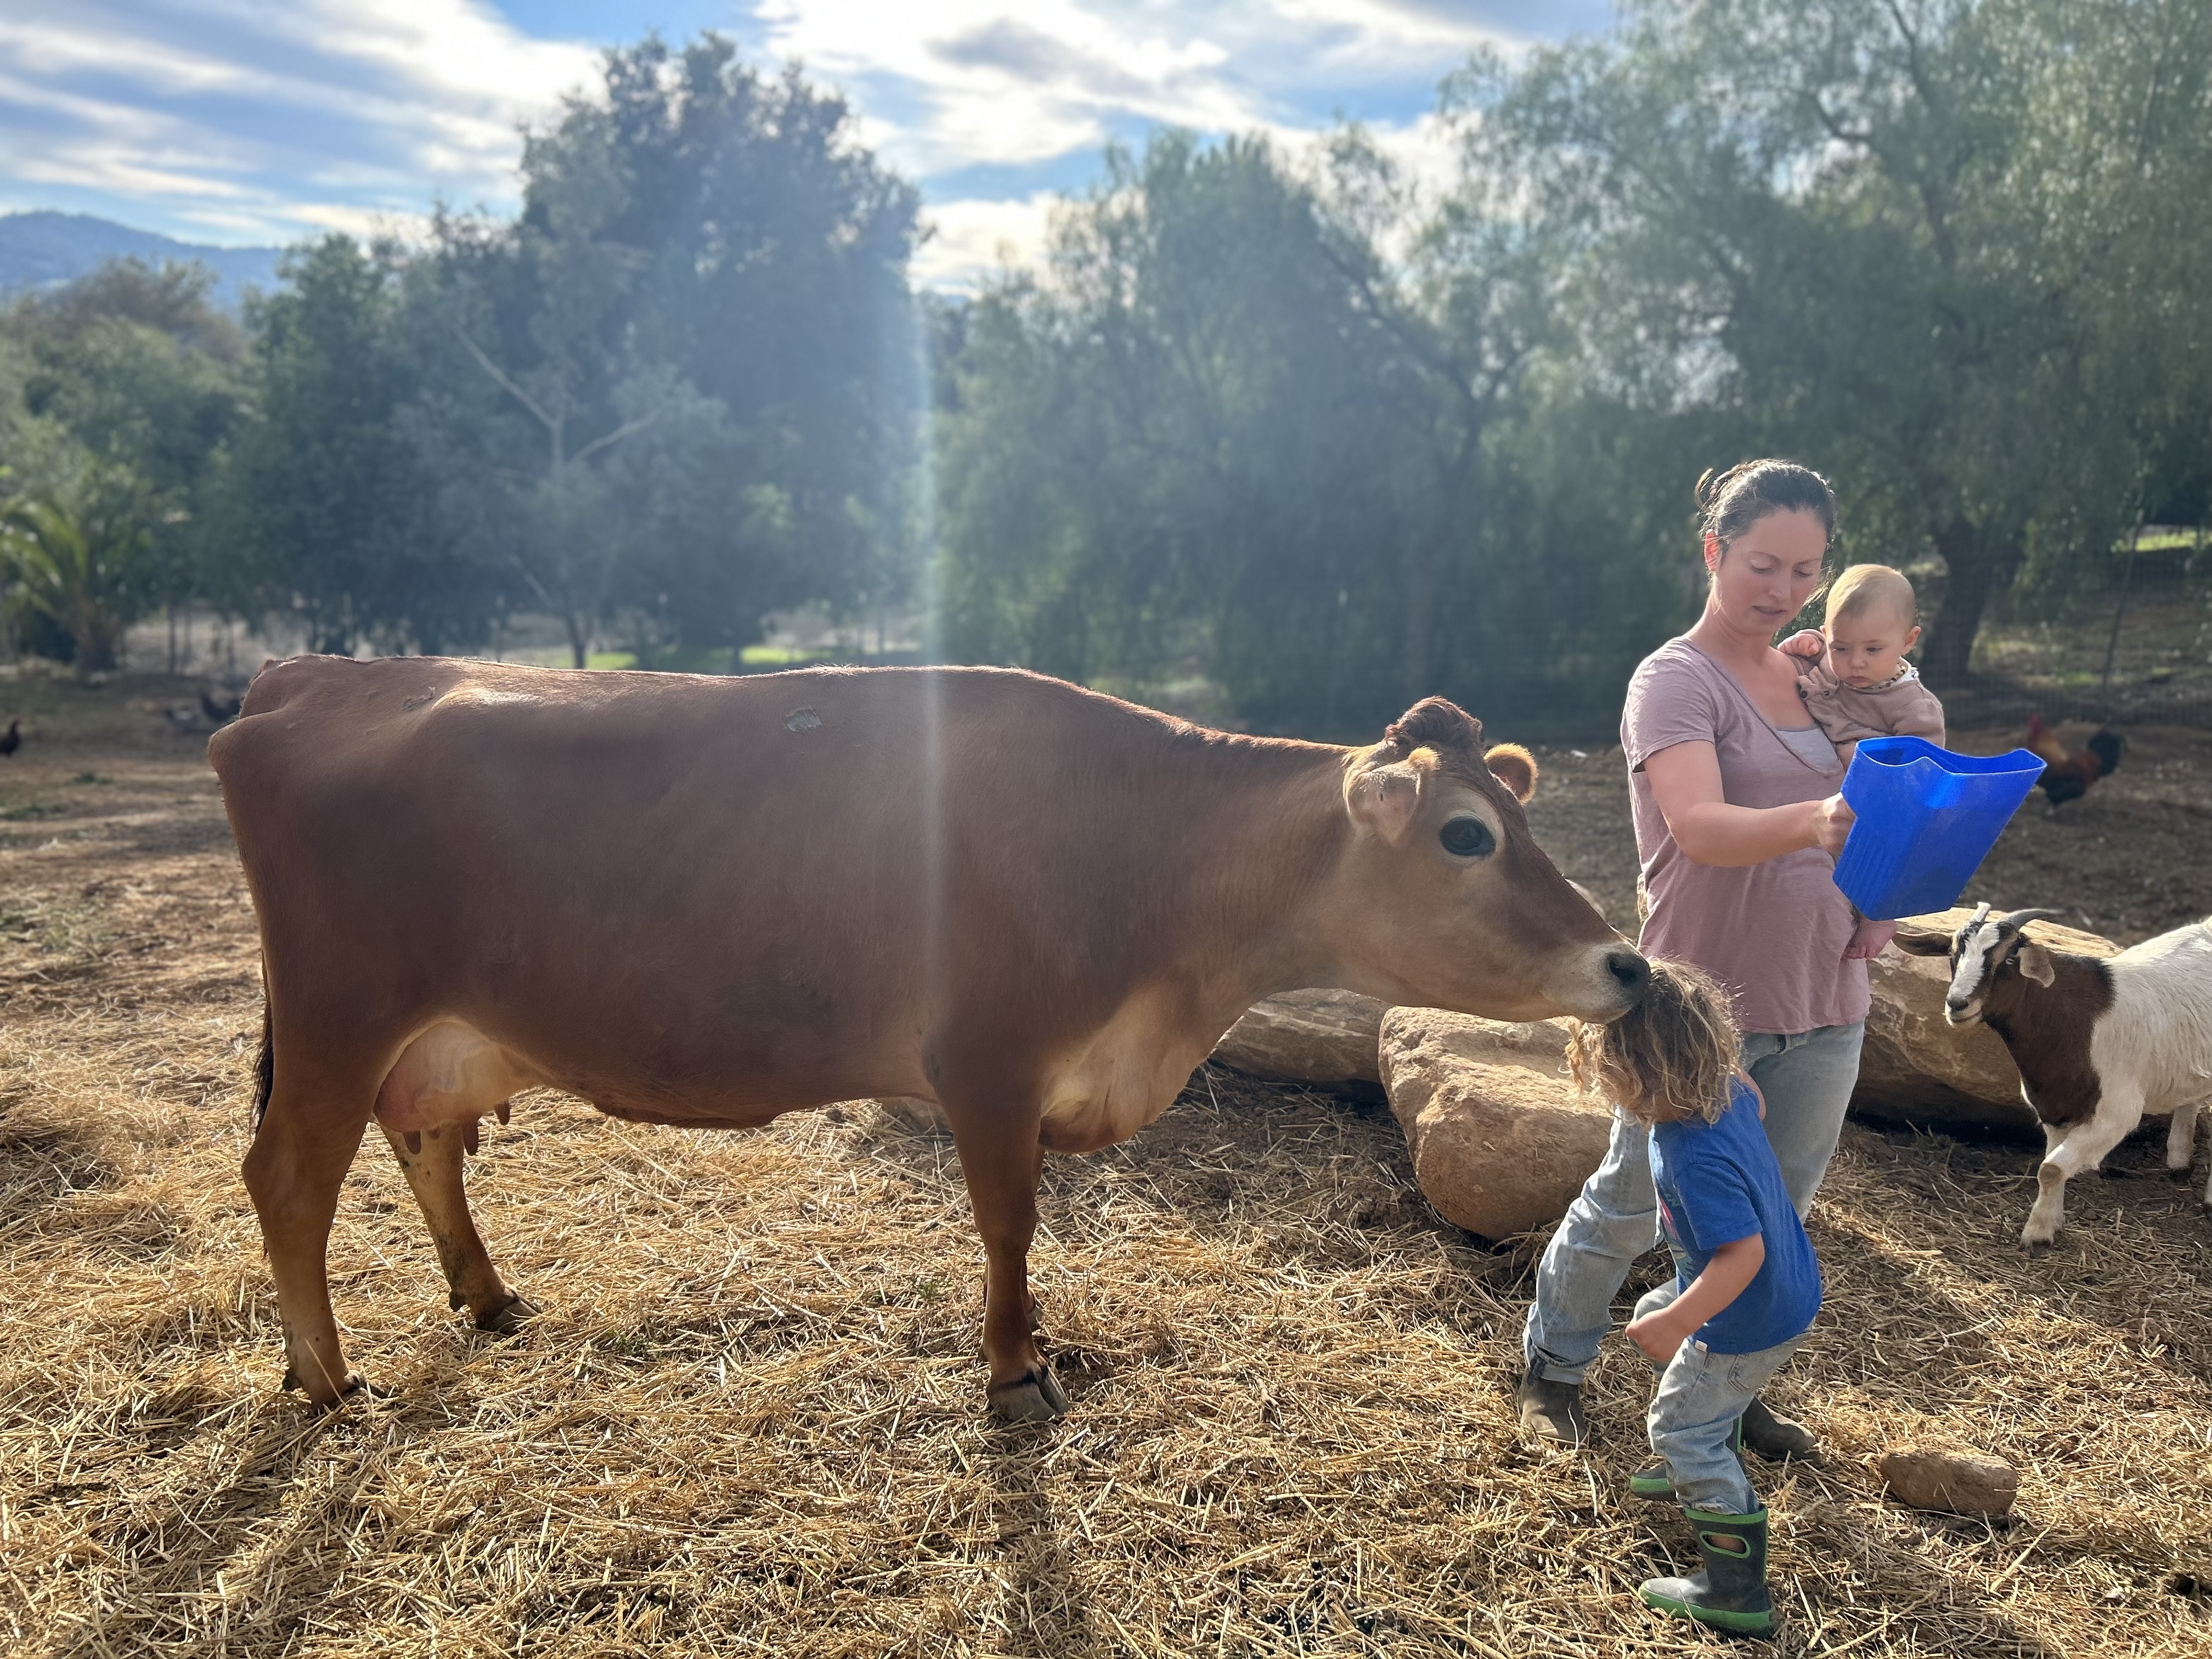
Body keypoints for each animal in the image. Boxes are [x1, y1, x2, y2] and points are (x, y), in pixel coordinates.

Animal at [209, 657, 1648, 1418]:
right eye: (1467, 834)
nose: (1626, 960)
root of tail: (308, 678)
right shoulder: (990, 1067)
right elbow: (1009, 1224)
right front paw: (1016, 1367)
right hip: (340, 1016)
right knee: (288, 1178)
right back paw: (325, 1378)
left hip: (433, 1032)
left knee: (423, 1144)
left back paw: (489, 1296)